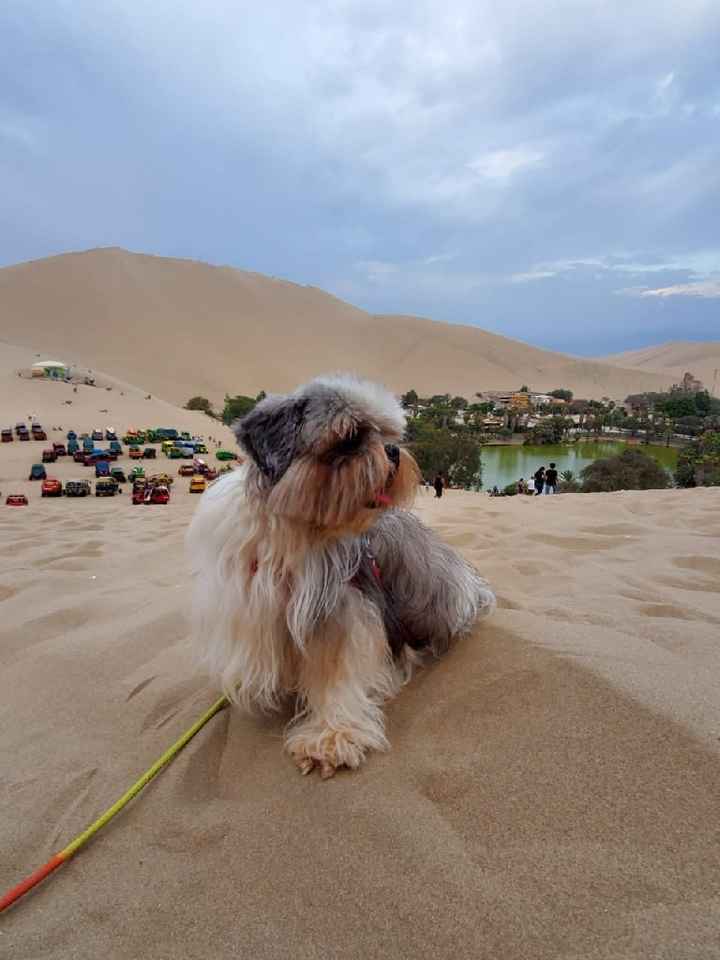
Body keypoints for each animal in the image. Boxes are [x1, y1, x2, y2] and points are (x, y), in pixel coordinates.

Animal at [187, 372, 496, 776]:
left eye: (387, 434)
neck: (296, 530)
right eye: (350, 437)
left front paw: (331, 736)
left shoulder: (340, 610)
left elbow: (336, 674)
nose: (393, 452)